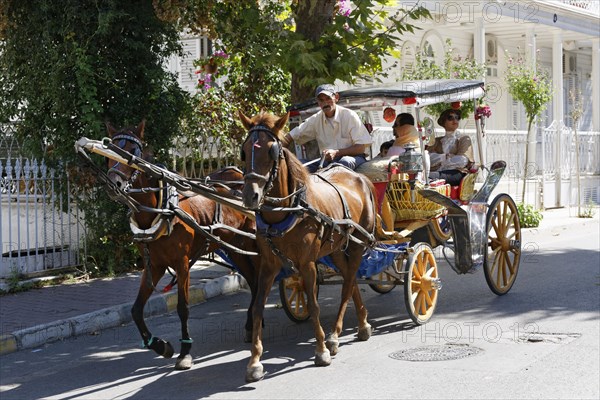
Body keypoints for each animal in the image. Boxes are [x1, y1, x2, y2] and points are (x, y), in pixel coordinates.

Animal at [105, 120, 258, 370]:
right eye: (109, 151)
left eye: (132, 151)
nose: (114, 183)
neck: (161, 209)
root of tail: (239, 172)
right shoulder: (154, 265)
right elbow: (136, 310)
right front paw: (161, 346)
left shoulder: (182, 262)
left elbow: (183, 308)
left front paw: (185, 351)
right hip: (234, 246)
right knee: (255, 282)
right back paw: (250, 324)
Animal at [238, 109, 376, 382]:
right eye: (244, 150)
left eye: (271, 150)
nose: (250, 196)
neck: (286, 211)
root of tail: (359, 178)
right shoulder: (268, 265)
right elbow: (258, 306)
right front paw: (254, 361)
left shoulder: (307, 263)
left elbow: (313, 305)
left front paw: (321, 350)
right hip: (337, 249)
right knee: (350, 278)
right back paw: (363, 325)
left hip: (357, 244)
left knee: (347, 286)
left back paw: (335, 336)